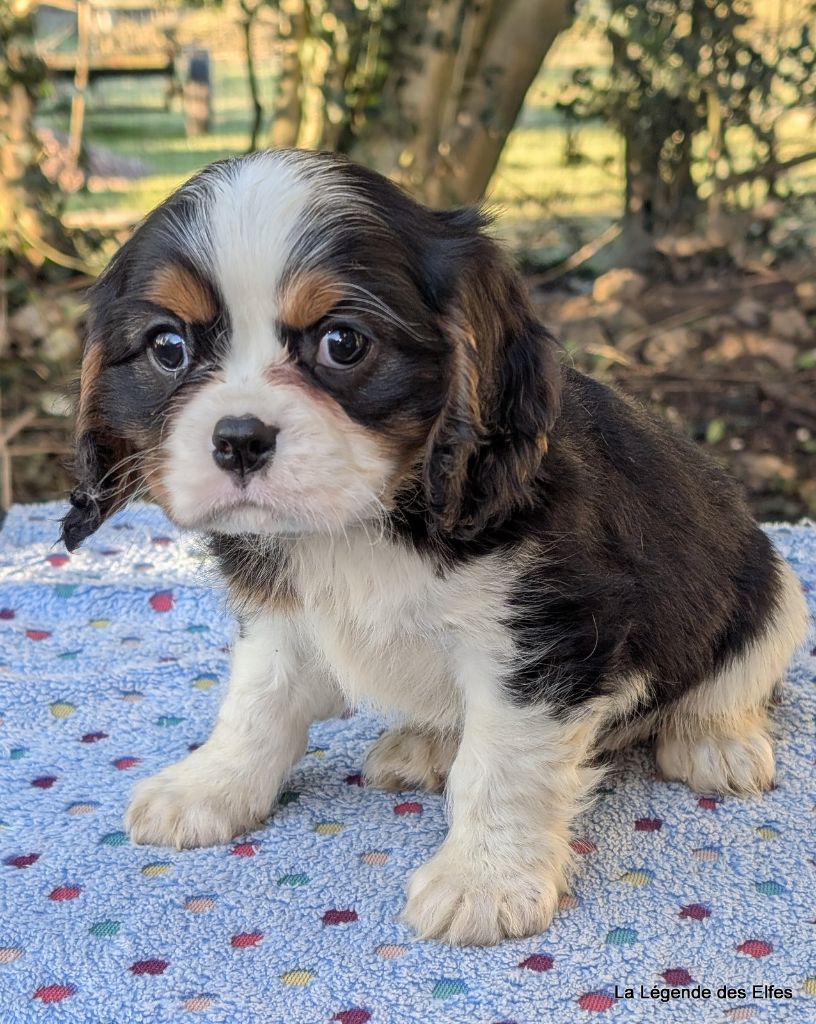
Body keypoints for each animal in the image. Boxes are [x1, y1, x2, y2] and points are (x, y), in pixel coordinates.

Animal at [60, 149, 806, 942]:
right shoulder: (282, 616)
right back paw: (426, 740)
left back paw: (714, 739)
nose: (237, 438)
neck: (362, 523)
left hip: (769, 587)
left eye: (342, 343)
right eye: (168, 347)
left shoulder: (540, 639)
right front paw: (213, 784)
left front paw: (484, 879)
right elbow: (256, 702)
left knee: (736, 679)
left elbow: (500, 764)